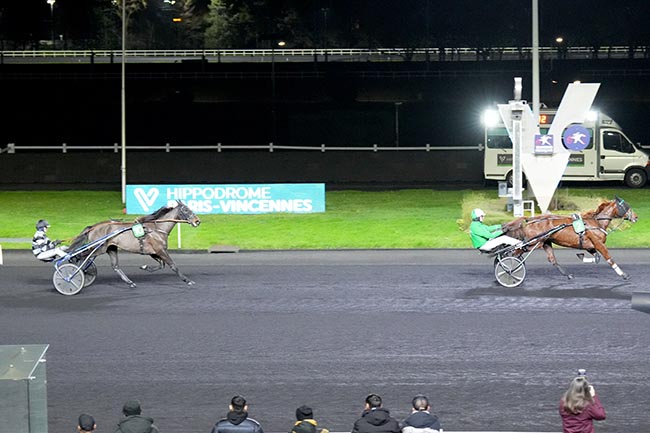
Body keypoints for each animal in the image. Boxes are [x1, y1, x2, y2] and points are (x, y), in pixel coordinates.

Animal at [67, 199, 200, 286]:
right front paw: (187, 280)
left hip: (111, 248)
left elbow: (161, 265)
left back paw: (129, 282)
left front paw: (145, 267)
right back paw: (75, 272)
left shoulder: (153, 252)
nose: (197, 221)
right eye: (186, 210)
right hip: (99, 248)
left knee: (115, 266)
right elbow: (173, 265)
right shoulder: (160, 250)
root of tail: (93, 227)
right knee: (79, 256)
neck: (157, 229)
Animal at [498, 197, 636, 280]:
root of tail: (532, 219)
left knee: (552, 260)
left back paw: (568, 275)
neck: (596, 223)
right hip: (534, 242)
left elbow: (596, 258)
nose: (636, 217)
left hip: (545, 242)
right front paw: (623, 274)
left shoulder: (589, 246)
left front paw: (581, 256)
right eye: (626, 206)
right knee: (516, 253)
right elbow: (609, 258)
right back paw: (509, 269)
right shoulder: (598, 244)